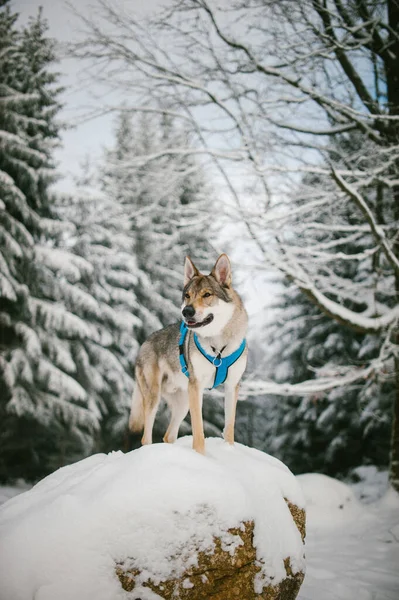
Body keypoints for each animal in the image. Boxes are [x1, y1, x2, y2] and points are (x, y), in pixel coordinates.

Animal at [129, 253, 247, 454]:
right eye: (187, 295)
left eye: (207, 294)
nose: (187, 311)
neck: (219, 346)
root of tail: (144, 343)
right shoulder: (197, 387)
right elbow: (198, 432)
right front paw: (201, 457)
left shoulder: (232, 386)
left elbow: (229, 428)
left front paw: (229, 451)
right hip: (155, 397)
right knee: (146, 438)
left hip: (183, 403)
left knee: (168, 436)